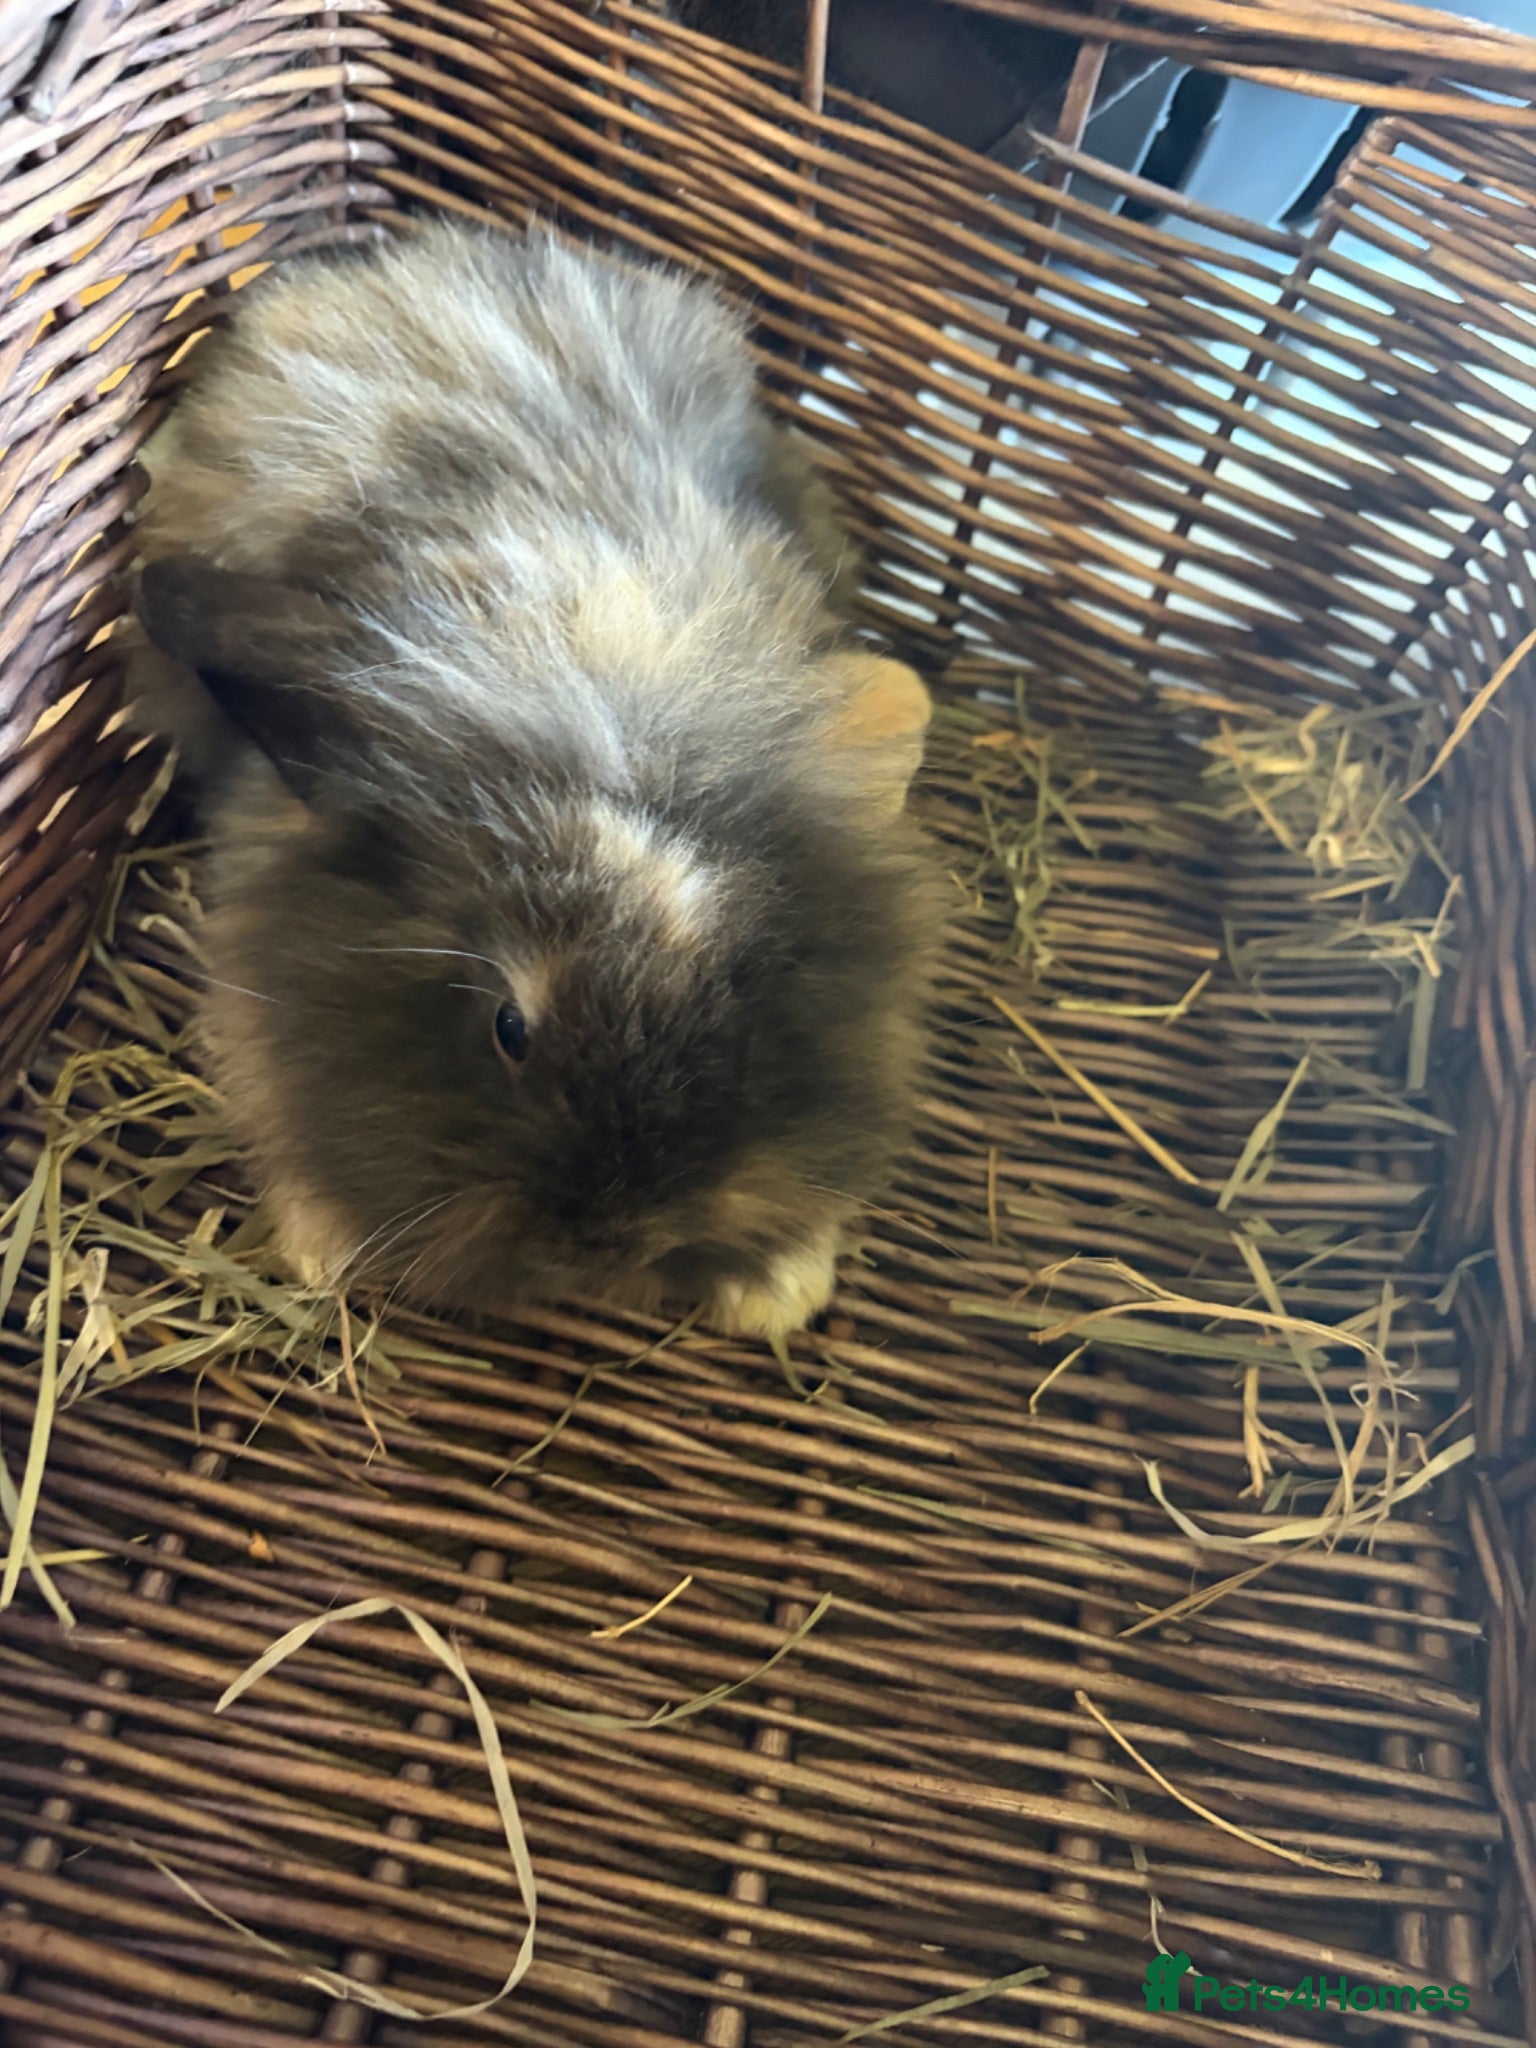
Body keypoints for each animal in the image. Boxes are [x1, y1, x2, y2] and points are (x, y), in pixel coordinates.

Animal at [126, 221, 944, 1343]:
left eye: (742, 997)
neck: (597, 672)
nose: (607, 1242)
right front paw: (322, 1243)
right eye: (509, 1028)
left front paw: (777, 1292)